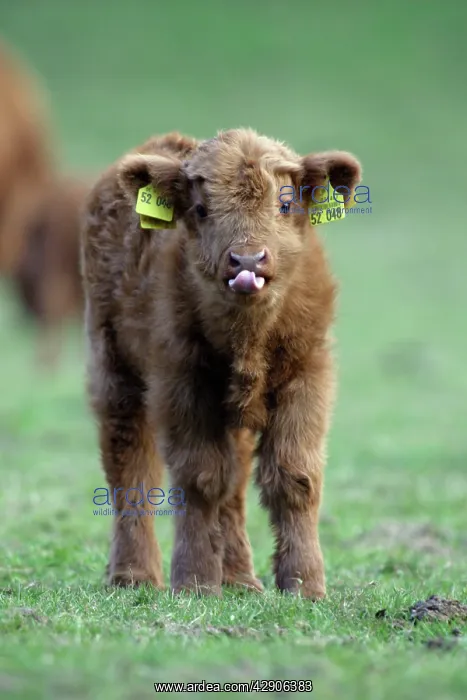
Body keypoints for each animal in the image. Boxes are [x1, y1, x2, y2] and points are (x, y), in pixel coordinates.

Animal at [81, 129, 361, 598]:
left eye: (285, 204)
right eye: (200, 209)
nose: (247, 261)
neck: (248, 336)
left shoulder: (308, 375)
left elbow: (295, 477)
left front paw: (305, 584)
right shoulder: (181, 382)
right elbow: (199, 478)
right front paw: (194, 580)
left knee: (235, 483)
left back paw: (239, 578)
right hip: (114, 368)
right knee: (130, 463)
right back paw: (134, 575)